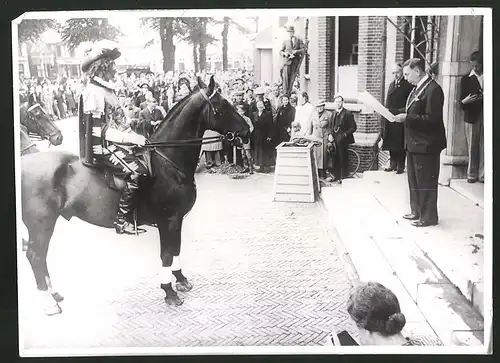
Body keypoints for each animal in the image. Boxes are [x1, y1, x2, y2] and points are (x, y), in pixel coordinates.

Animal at [19, 76, 250, 316]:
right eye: (223, 105)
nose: (247, 130)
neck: (167, 161)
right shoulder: (168, 219)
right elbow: (167, 254)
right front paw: (169, 291)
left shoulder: (176, 220)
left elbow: (175, 249)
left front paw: (180, 279)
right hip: (41, 224)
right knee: (35, 256)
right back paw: (49, 301)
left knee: (41, 257)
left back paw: (54, 294)